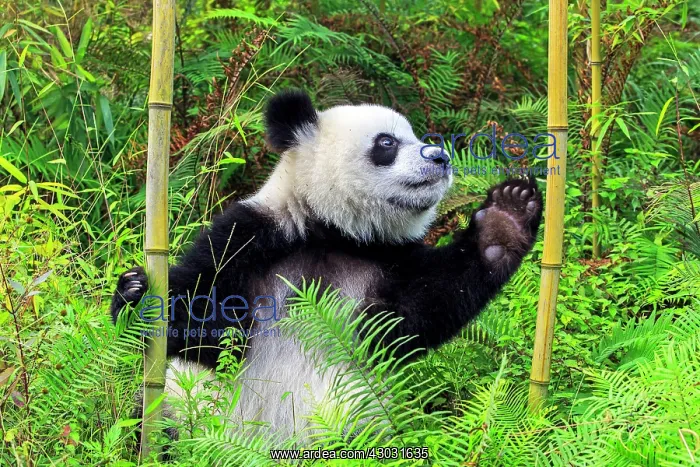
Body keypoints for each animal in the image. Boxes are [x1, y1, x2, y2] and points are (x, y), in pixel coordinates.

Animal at [110, 89, 543, 437]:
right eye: (387, 142)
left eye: (417, 137)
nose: (440, 157)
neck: (332, 232)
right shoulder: (252, 237)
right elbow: (203, 326)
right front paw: (135, 294)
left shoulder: (387, 262)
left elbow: (420, 308)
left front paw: (505, 220)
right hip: (182, 410)